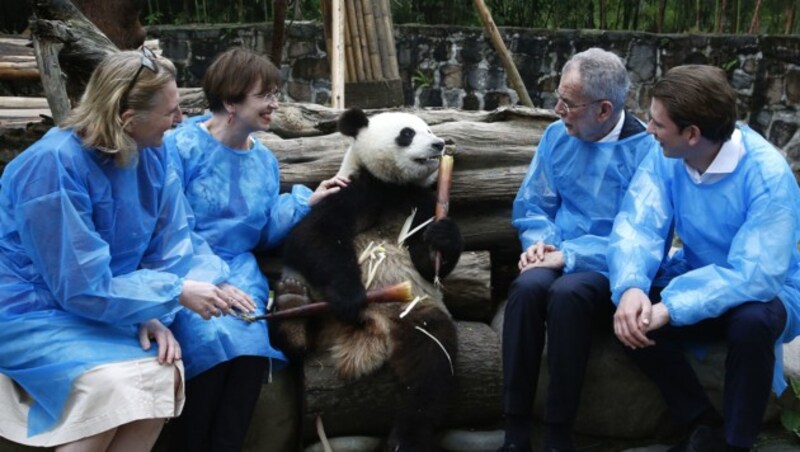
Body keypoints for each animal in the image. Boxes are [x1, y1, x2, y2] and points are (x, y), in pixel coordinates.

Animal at [276, 107, 462, 450]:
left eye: (430, 129)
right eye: (407, 134)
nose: (439, 144)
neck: (394, 186)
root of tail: (371, 327)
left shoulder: (420, 204)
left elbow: (427, 262)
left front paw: (443, 237)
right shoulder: (356, 190)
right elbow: (310, 236)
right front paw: (350, 295)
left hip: (414, 311)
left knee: (432, 360)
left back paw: (408, 437)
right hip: (321, 303)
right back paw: (292, 313)